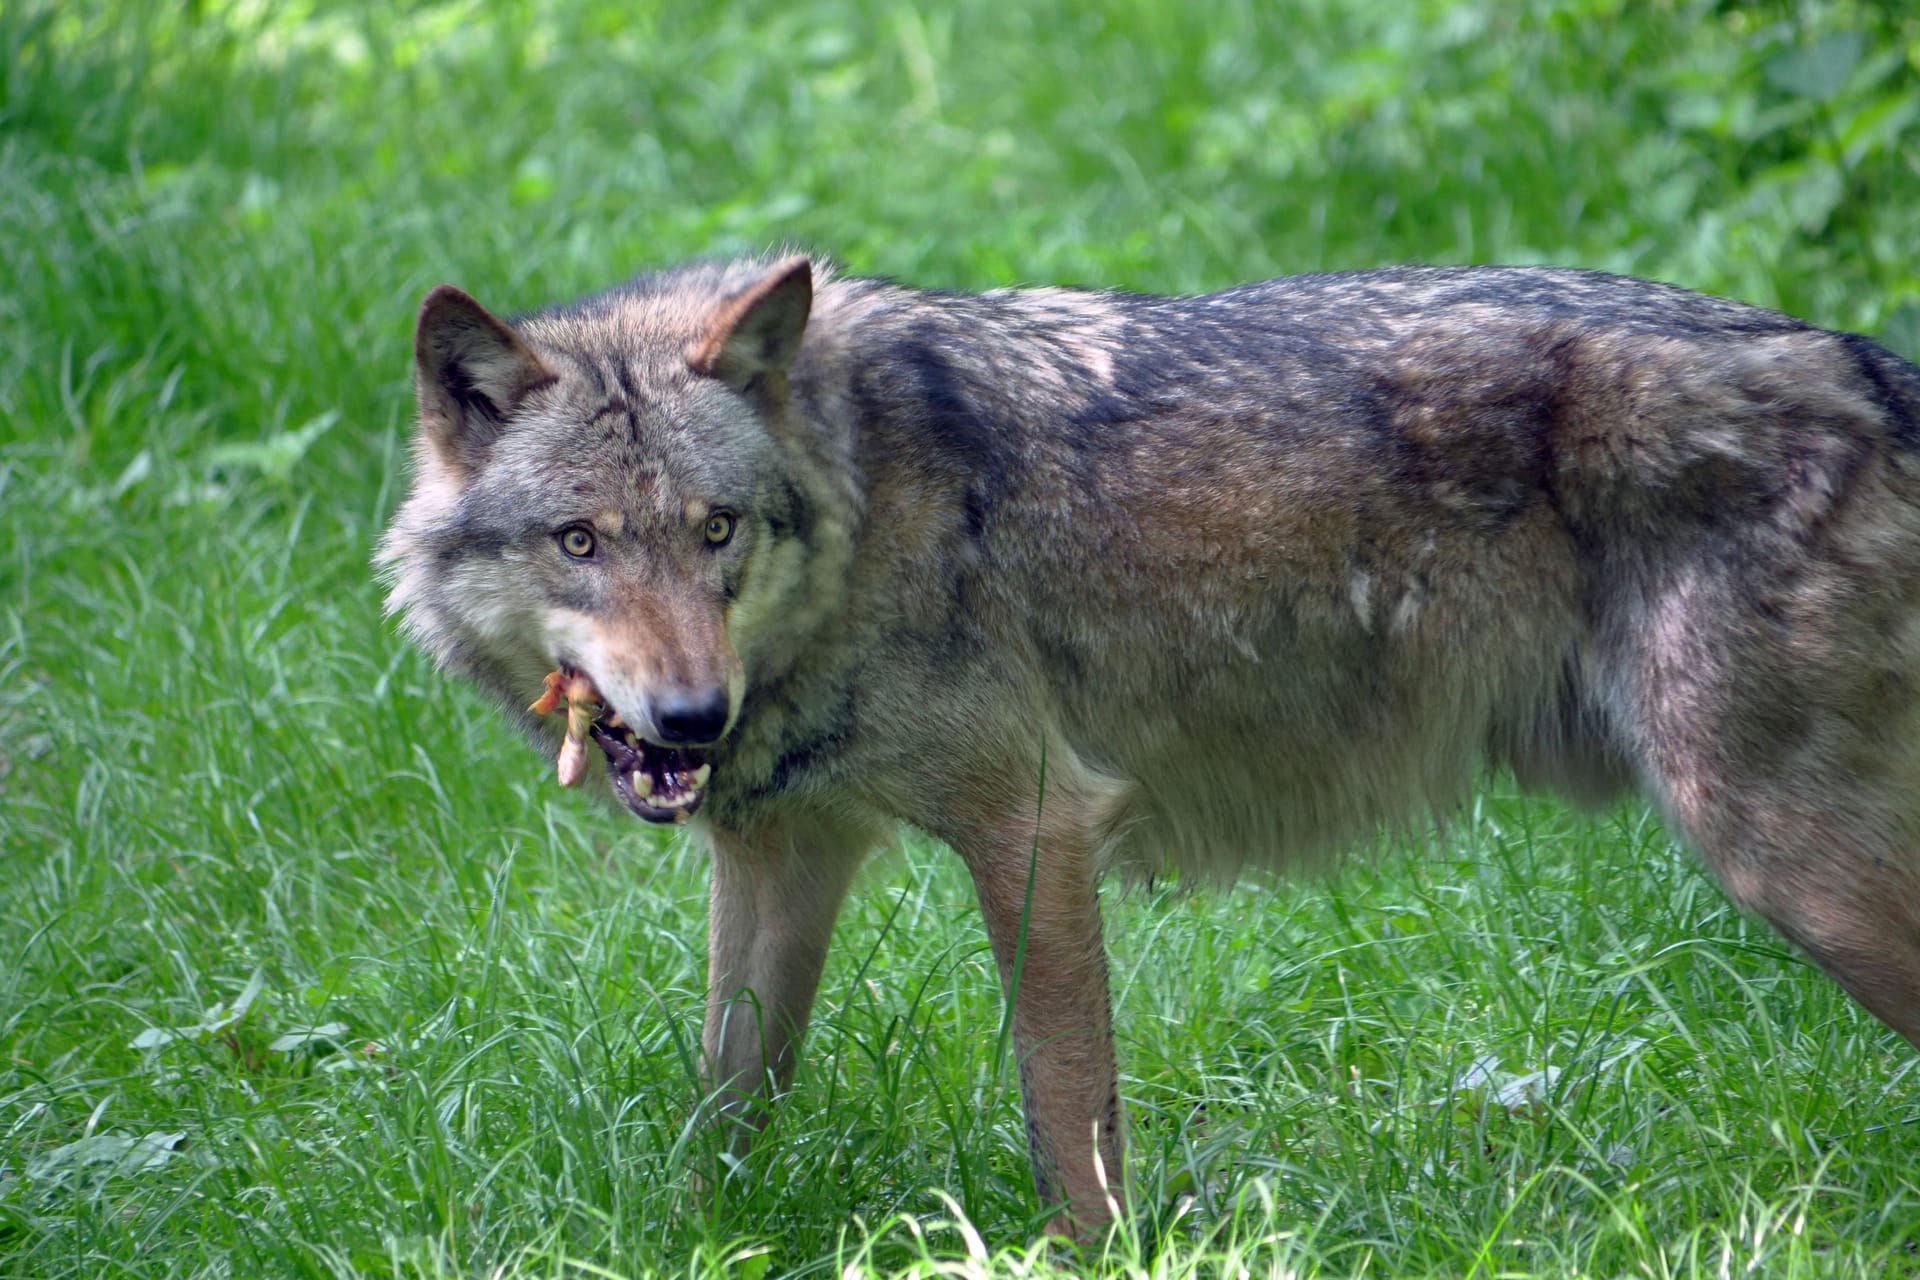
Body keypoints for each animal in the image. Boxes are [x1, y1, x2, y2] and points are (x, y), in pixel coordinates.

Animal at [370, 255, 1920, 1235]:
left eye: (715, 530)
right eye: (581, 541)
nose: (692, 717)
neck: (863, 507)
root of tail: (1874, 367)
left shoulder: (1036, 827)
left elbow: (1068, 1123)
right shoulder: (784, 854)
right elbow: (724, 1103)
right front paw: (705, 1233)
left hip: (1782, 860)